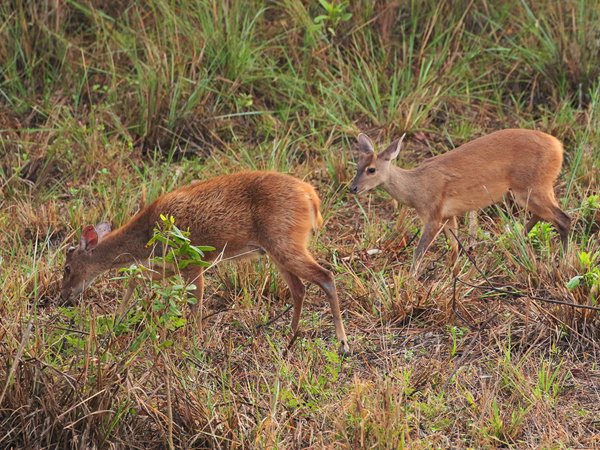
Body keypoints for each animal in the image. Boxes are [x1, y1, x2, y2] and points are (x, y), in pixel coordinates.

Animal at [61, 171, 350, 354]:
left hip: (284, 242)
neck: (146, 234)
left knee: (325, 276)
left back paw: (343, 345)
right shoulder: (169, 265)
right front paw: (117, 320)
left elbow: (195, 303)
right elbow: (136, 275)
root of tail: (311, 195)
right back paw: (289, 338)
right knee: (299, 289)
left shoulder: (191, 260)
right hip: (278, 249)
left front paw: (197, 344)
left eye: (67, 267)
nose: (64, 296)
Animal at [352, 128, 572, 268]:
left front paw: (411, 284)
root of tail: (558, 146)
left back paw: (562, 264)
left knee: (564, 218)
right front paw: (449, 278)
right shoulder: (449, 215)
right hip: (530, 190)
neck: (416, 187)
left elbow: (419, 252)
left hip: (532, 187)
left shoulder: (433, 214)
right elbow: (454, 248)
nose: (352, 187)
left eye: (371, 169)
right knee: (544, 216)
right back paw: (510, 241)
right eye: (357, 165)